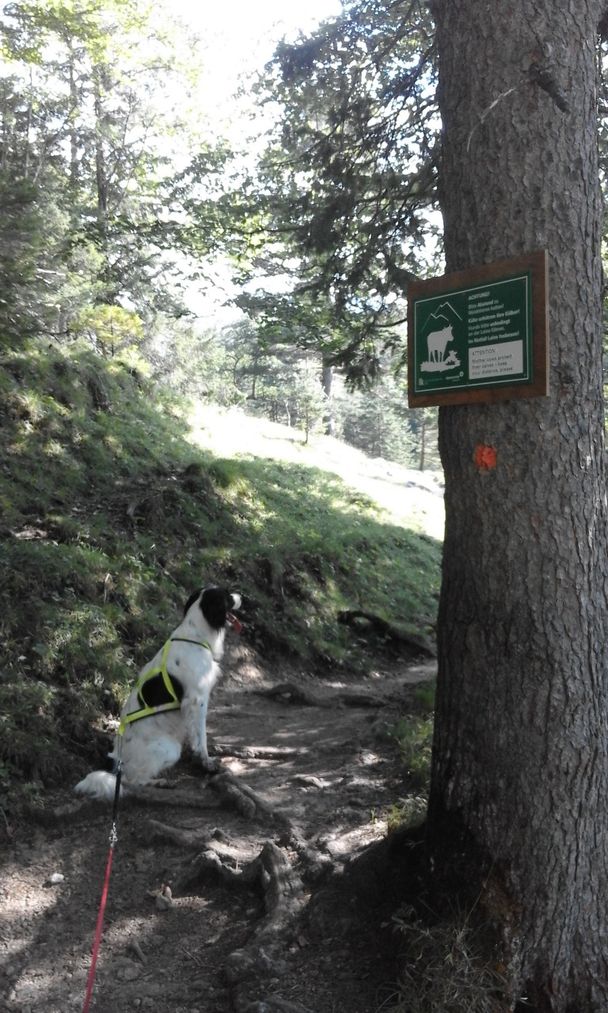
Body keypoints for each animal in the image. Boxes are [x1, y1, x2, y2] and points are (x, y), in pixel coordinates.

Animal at [77, 587, 243, 798]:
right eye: (228, 596)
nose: (242, 597)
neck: (196, 636)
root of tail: (116, 762)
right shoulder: (197, 700)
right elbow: (201, 737)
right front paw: (207, 763)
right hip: (170, 749)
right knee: (133, 780)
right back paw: (161, 782)